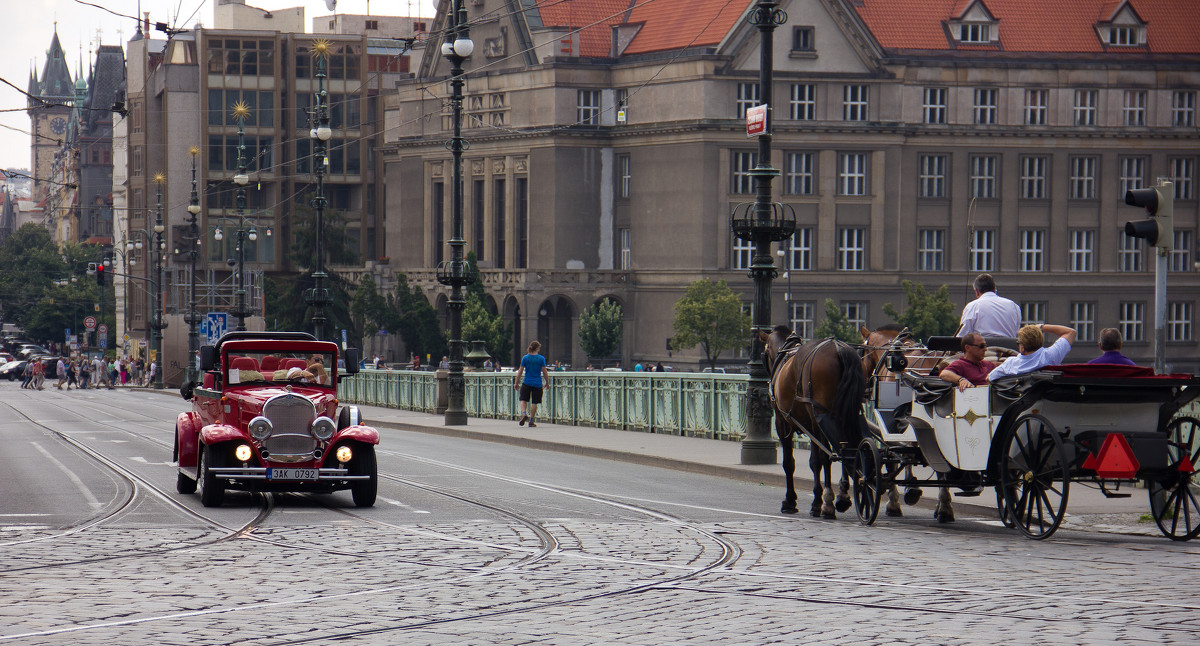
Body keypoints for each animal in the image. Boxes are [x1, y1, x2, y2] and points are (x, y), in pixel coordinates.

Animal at [763, 324, 868, 516]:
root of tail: (839, 349)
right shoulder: (811, 423)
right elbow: (820, 458)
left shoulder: (783, 422)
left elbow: (794, 462)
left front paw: (793, 500)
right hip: (846, 412)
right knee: (848, 447)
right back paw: (844, 495)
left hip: (819, 416)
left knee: (829, 455)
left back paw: (826, 501)